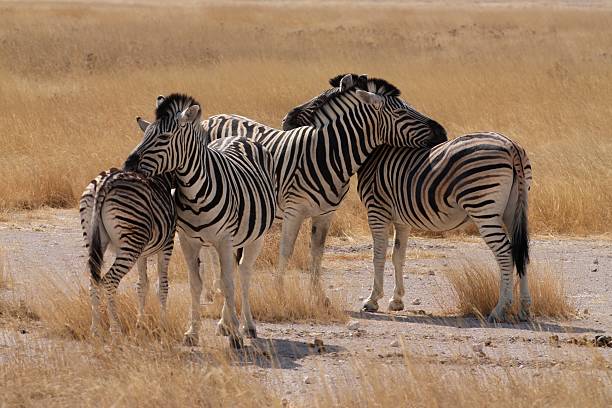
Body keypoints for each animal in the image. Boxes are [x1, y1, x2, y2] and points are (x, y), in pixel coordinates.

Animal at [80, 167, 176, 336]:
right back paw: (116, 329)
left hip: (94, 238)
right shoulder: (167, 244)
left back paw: (95, 329)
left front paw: (140, 323)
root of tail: (104, 182)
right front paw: (163, 326)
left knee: (94, 281)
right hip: (131, 243)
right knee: (110, 280)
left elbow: (142, 285)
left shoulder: (142, 253)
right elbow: (163, 286)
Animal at [125, 93, 278, 348]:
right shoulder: (188, 241)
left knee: (243, 273)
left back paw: (247, 325)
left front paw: (236, 336)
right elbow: (196, 284)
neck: (195, 193)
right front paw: (193, 332)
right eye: (144, 136)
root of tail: (238, 136)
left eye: (164, 137)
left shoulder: (224, 240)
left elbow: (228, 284)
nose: (127, 166)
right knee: (230, 273)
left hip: (254, 237)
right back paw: (224, 324)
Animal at [198, 73, 448, 294]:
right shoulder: (294, 210)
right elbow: (286, 250)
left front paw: (317, 295)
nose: (443, 133)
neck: (327, 154)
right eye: (400, 111)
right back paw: (215, 289)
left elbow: (317, 252)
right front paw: (279, 290)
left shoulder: (326, 213)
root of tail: (208, 120)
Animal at [282, 78, 532, 324]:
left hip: (483, 206)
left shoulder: (377, 210)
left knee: (505, 252)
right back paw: (524, 309)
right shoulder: (402, 218)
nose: (285, 121)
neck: (376, 152)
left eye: (319, 102)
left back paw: (500, 310)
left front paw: (373, 301)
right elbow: (398, 256)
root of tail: (511, 146)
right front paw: (397, 301)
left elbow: (379, 255)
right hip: (513, 209)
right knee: (520, 251)